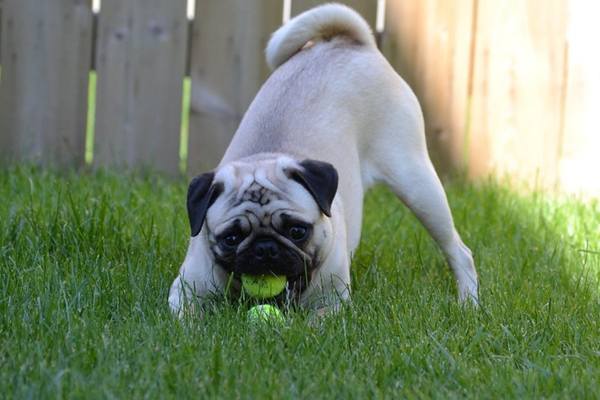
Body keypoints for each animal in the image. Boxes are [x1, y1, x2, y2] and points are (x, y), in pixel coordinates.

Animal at [169, 2, 478, 316]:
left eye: (297, 231)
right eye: (231, 238)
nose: (265, 248)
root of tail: (348, 42)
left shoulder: (331, 303)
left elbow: (314, 322)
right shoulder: (183, 291)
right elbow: (187, 318)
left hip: (417, 184)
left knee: (459, 251)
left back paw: (468, 303)